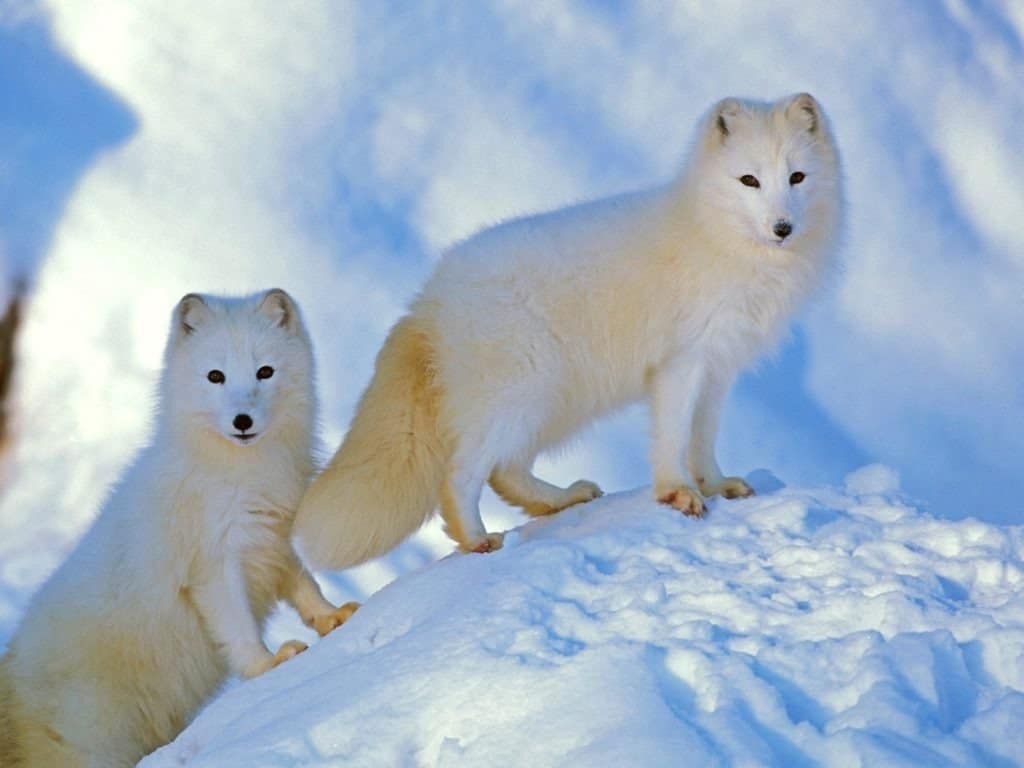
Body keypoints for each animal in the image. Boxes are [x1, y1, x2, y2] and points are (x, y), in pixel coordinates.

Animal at [0, 290, 358, 768]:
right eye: (215, 376)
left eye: (265, 371)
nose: (242, 421)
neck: (242, 473)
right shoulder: (211, 565)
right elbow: (238, 628)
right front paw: (268, 664)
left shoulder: (274, 534)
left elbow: (305, 585)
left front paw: (332, 616)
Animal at [294, 94, 839, 565]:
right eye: (749, 180)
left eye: (797, 177)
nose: (782, 228)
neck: (716, 237)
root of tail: (429, 298)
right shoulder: (680, 364)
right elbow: (672, 437)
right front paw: (678, 494)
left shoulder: (719, 368)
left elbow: (702, 440)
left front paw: (716, 486)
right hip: (518, 396)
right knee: (462, 473)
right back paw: (476, 539)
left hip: (550, 403)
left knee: (506, 472)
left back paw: (561, 501)